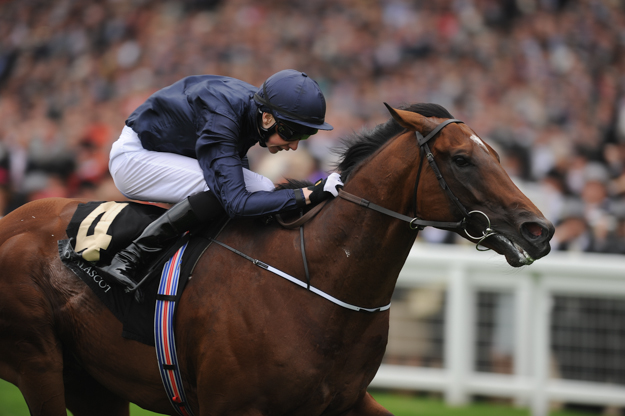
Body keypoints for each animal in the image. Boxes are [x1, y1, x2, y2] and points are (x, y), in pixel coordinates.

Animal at [0, 102, 552, 414]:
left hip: (94, 382)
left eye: (498, 155)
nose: (539, 230)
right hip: (38, 362)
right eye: (462, 159)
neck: (316, 282)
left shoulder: (344, 400)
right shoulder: (231, 407)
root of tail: (15, 220)